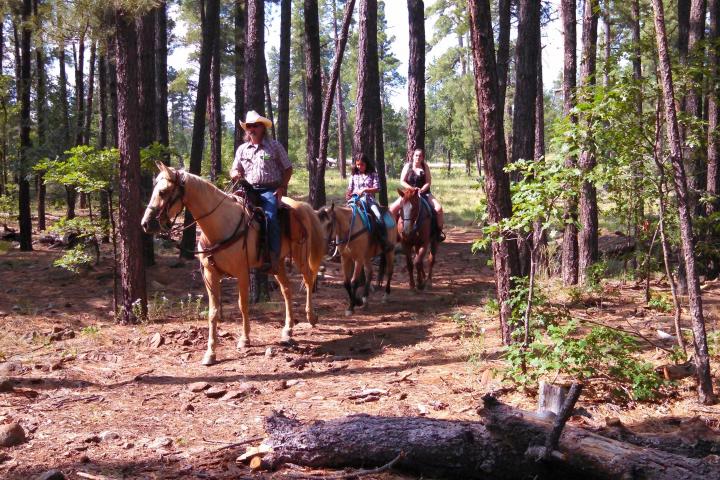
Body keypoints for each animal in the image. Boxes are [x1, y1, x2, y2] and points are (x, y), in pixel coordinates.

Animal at [141, 163, 326, 366]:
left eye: (163, 191)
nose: (146, 224)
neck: (220, 224)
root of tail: (301, 206)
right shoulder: (210, 274)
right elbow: (213, 312)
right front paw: (210, 353)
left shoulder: (242, 272)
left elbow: (242, 305)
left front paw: (245, 339)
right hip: (277, 263)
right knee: (287, 289)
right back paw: (288, 330)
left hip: (300, 256)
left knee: (308, 279)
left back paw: (311, 316)